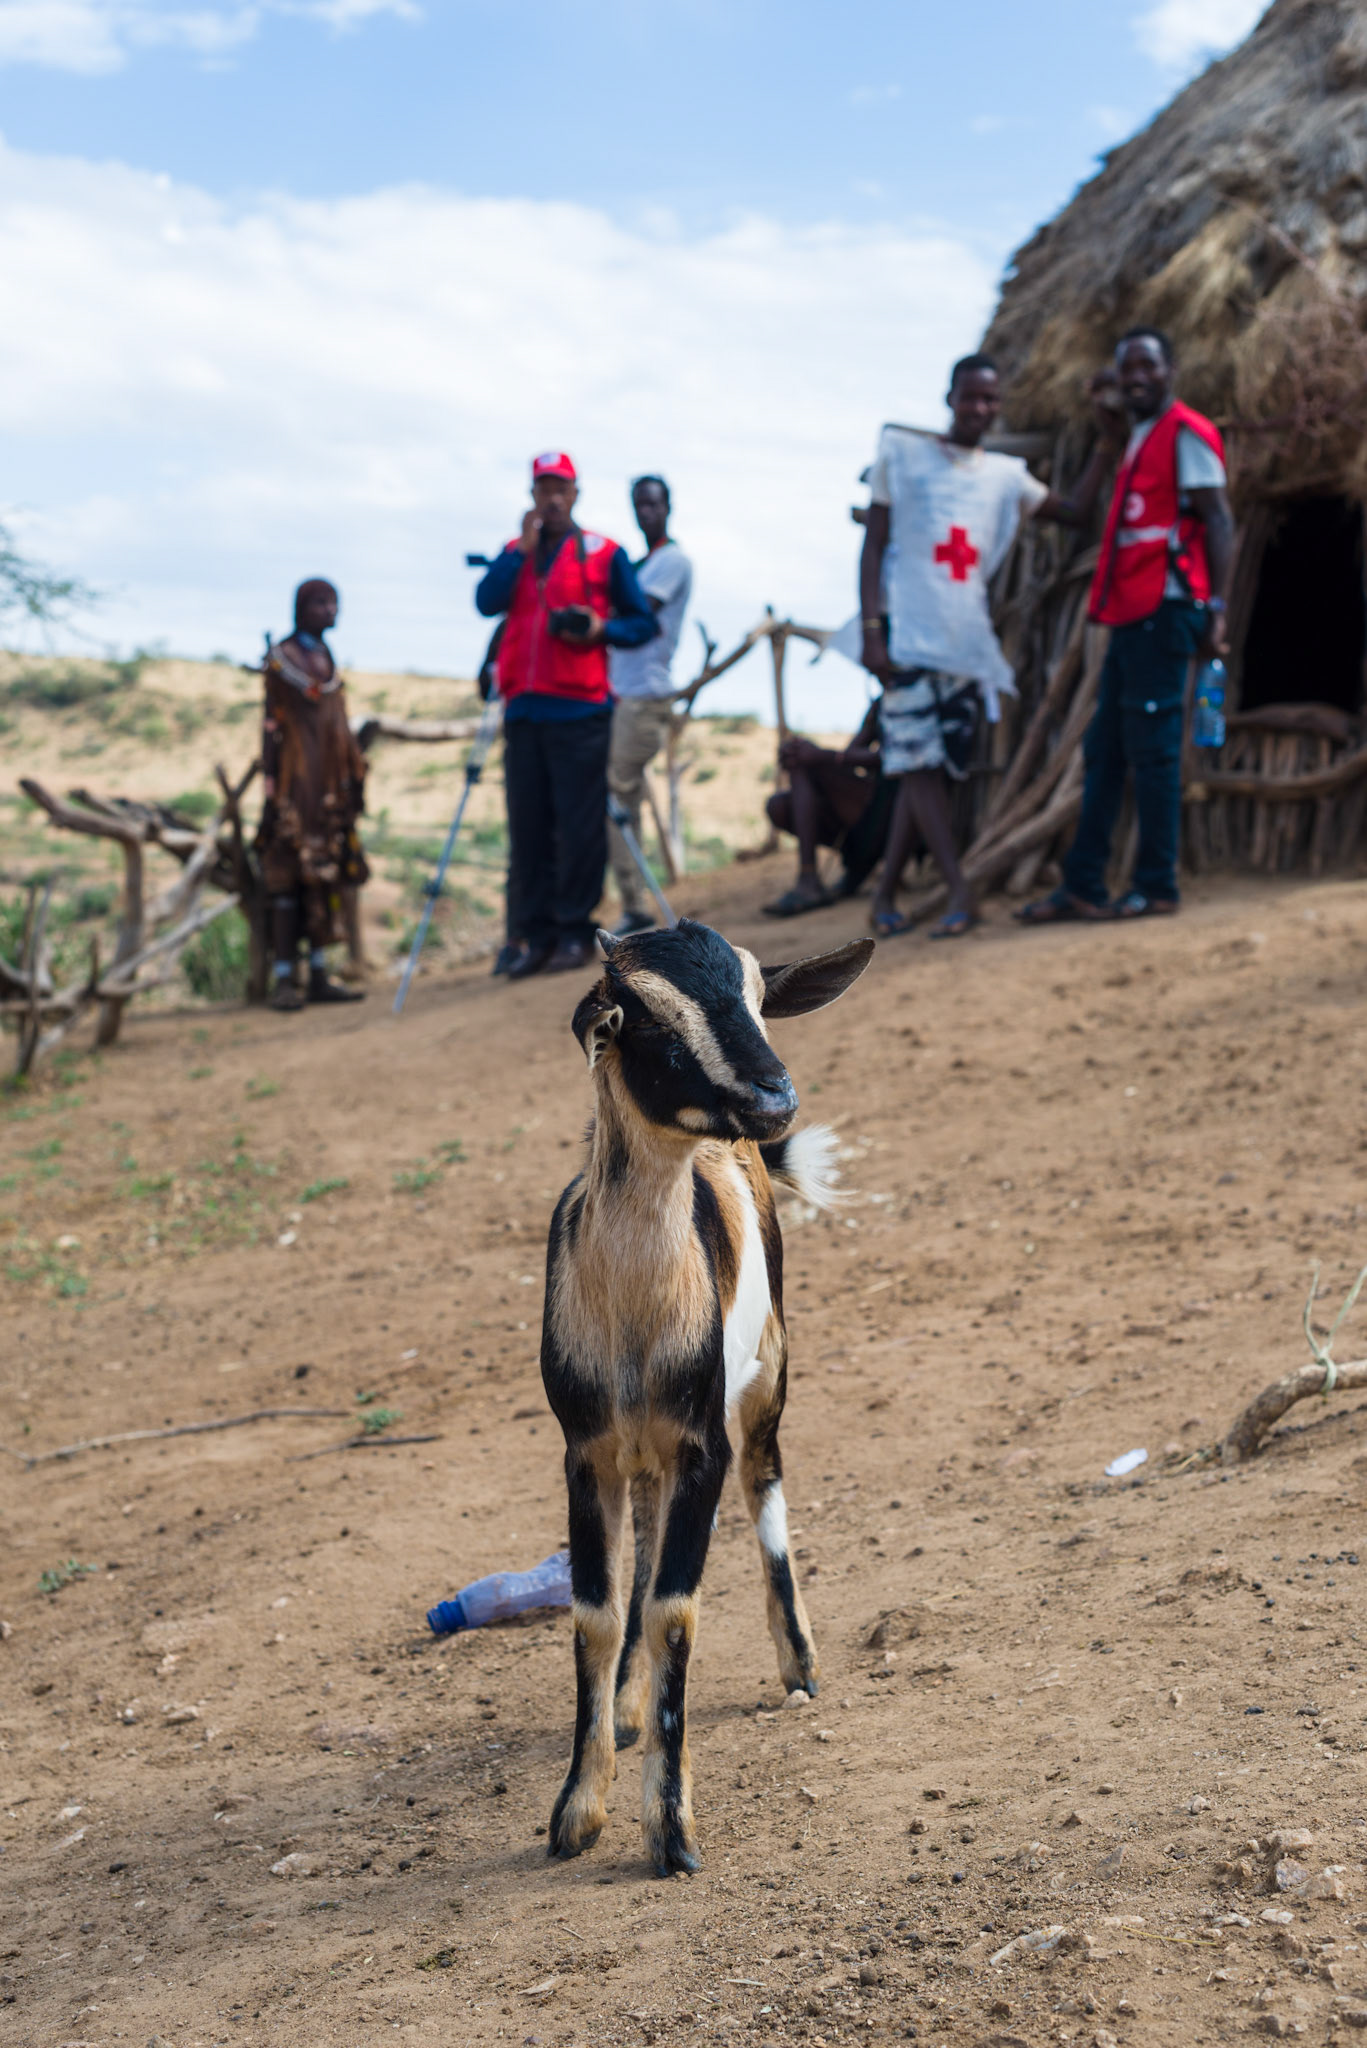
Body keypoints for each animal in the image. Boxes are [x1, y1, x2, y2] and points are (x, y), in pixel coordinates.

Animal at [539, 917, 873, 1875]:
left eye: (760, 997)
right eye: (641, 1015)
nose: (774, 1096)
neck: (631, 1323)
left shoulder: (700, 1443)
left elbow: (674, 1611)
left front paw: (670, 1828)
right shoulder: (585, 1451)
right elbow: (599, 1613)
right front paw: (577, 1809)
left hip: (767, 1372)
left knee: (766, 1487)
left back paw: (799, 1663)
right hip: (643, 1453)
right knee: (646, 1549)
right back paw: (624, 1705)